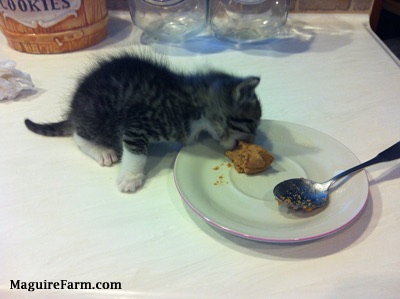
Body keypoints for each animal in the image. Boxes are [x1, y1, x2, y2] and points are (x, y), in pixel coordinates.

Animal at [25, 52, 262, 193]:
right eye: (251, 125)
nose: (252, 141)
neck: (193, 102)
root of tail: (74, 109)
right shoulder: (137, 123)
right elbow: (135, 153)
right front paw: (130, 177)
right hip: (96, 116)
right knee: (79, 135)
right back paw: (101, 150)